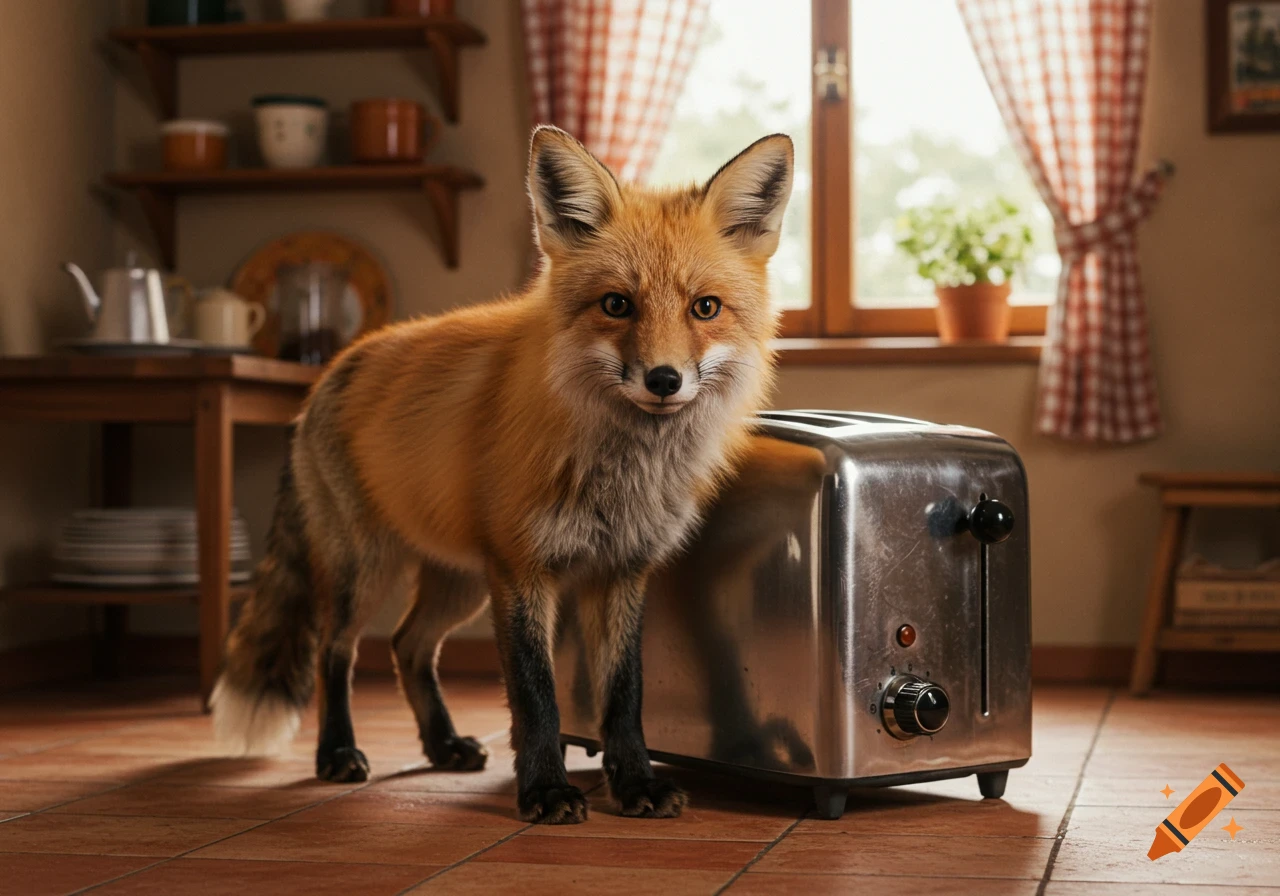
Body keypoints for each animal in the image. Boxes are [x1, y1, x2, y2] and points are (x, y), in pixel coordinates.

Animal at [211, 125, 794, 824]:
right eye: (616, 305)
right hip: (369, 568)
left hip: (459, 580)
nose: (663, 379)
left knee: (407, 646)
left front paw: (635, 783)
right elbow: (536, 694)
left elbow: (625, 694)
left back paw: (442, 745)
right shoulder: (521, 568)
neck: (621, 471)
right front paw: (545, 790)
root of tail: (330, 371)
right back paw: (338, 753)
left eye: (705, 308)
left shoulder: (621, 570)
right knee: (337, 651)